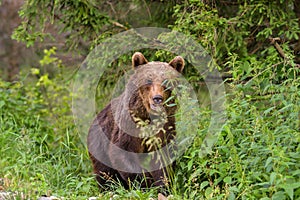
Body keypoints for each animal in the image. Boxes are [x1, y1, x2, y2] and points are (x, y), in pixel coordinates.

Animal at [87, 51, 185, 189]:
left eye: (166, 81)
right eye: (148, 80)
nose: (157, 98)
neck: (148, 115)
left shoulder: (165, 127)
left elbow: (163, 158)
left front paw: (163, 184)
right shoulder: (129, 125)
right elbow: (123, 153)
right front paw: (146, 182)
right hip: (99, 141)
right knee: (105, 171)